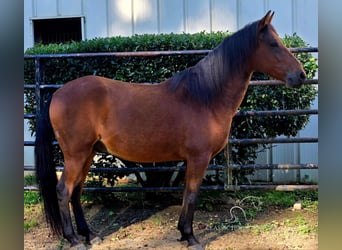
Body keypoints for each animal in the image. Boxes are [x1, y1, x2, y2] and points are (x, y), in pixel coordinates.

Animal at [34, 11, 306, 248]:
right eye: (273, 44)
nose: (301, 75)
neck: (204, 97)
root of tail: (58, 93)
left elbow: (186, 194)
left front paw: (183, 233)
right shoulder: (198, 158)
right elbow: (192, 195)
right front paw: (191, 237)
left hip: (88, 153)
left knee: (77, 191)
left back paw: (90, 234)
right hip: (77, 154)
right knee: (63, 190)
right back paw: (74, 239)